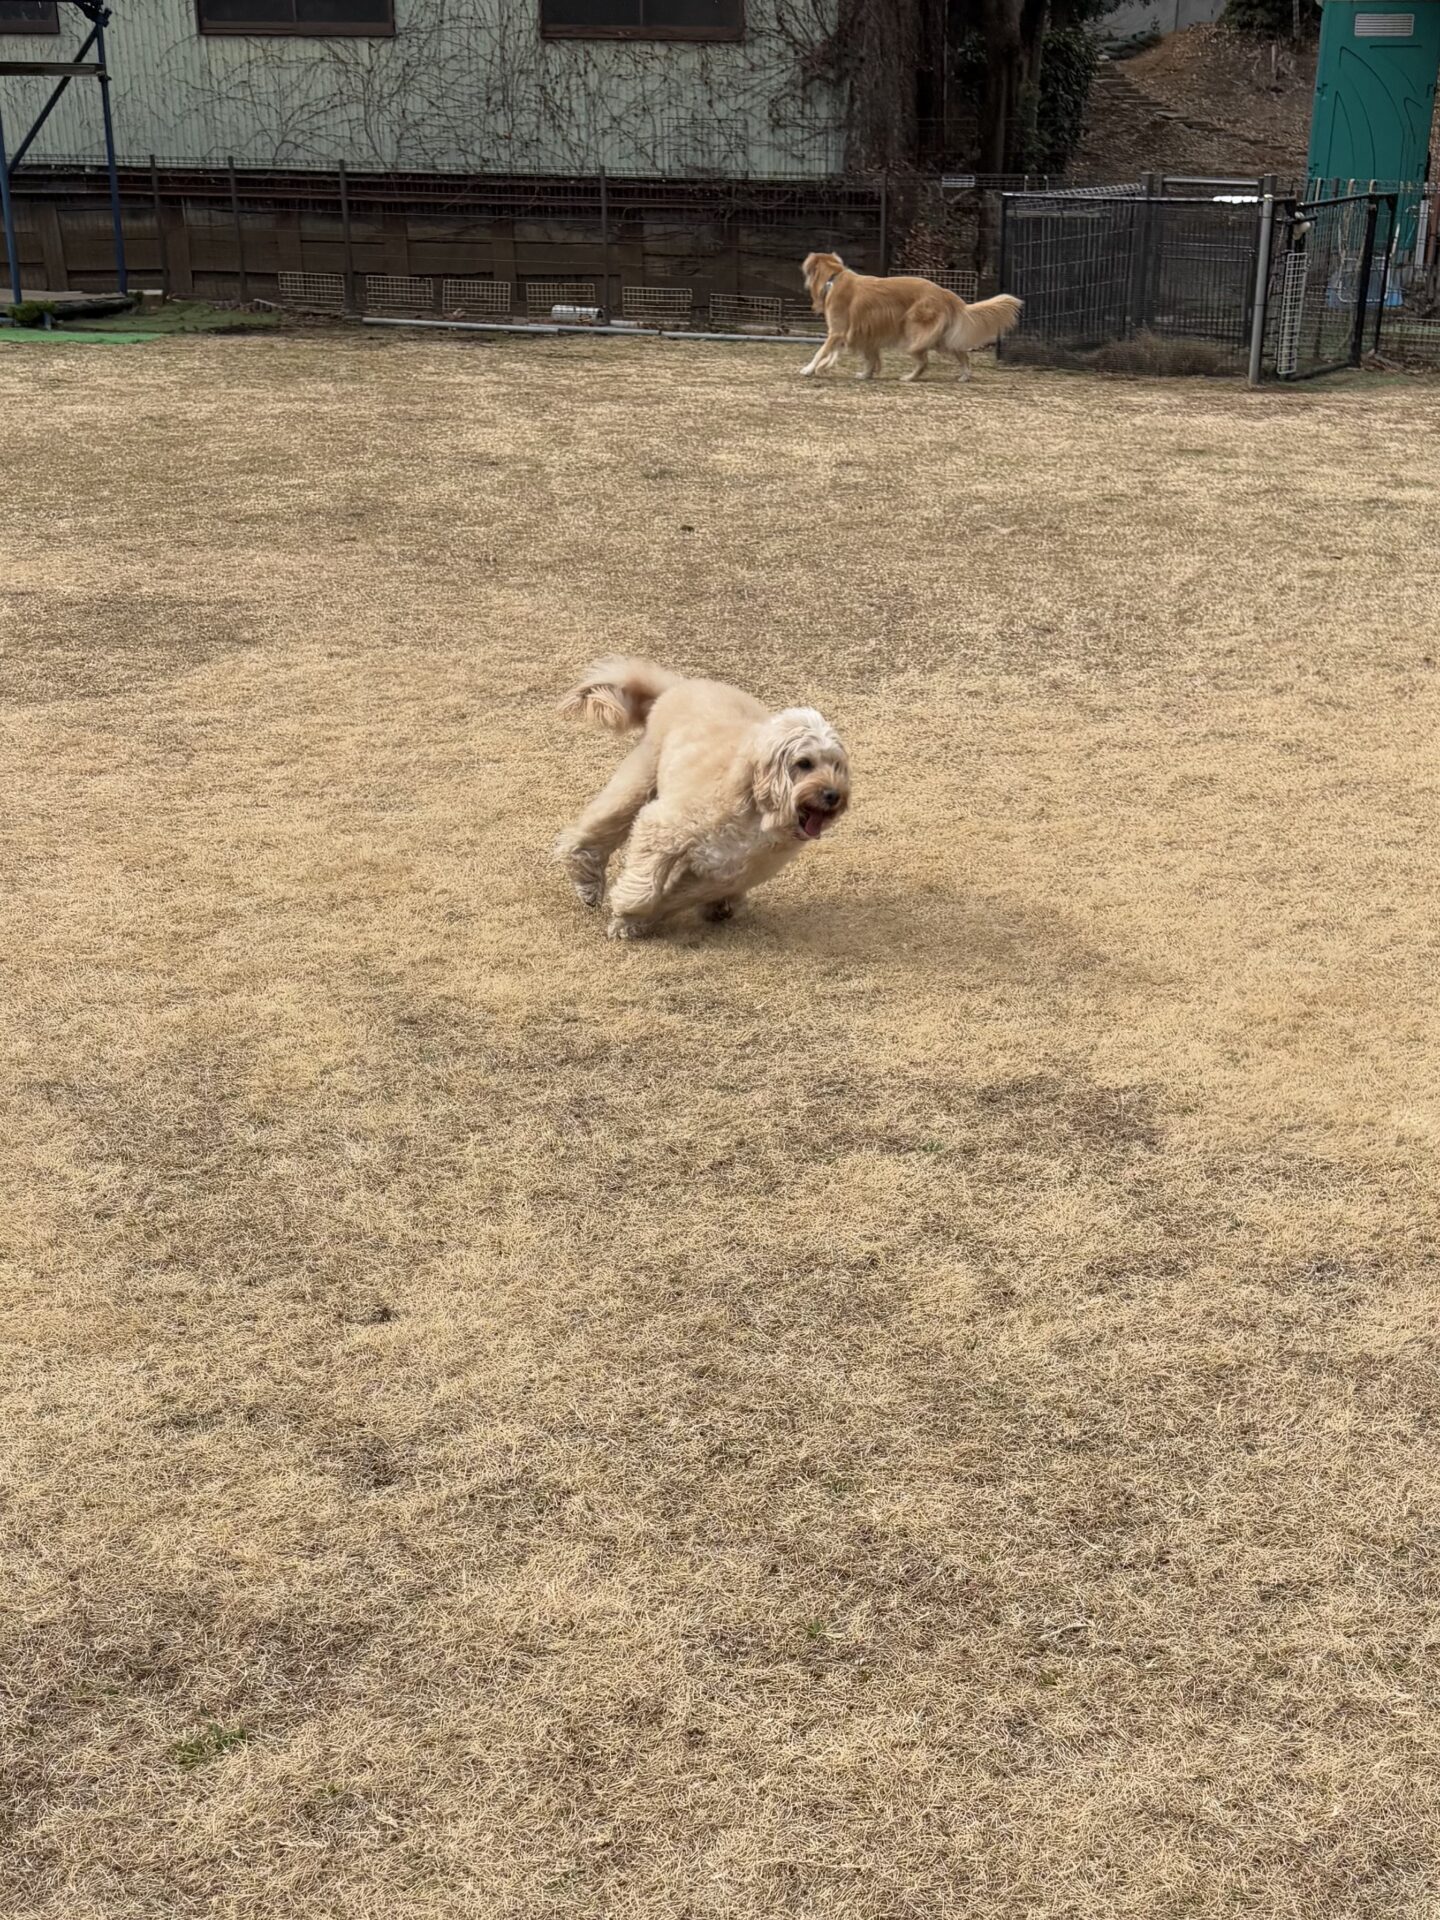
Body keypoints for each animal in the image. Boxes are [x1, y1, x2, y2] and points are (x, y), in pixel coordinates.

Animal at [554, 659, 850, 940]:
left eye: (837, 766)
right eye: (804, 763)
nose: (834, 795)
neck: (756, 810)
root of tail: (678, 685)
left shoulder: (720, 876)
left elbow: (670, 898)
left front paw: (636, 922)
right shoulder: (661, 829)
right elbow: (645, 889)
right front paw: (627, 918)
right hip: (639, 780)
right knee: (595, 831)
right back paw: (588, 882)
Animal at [800, 251, 1022, 383]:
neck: (833, 279)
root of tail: (945, 293)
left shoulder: (838, 331)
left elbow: (821, 351)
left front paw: (809, 369)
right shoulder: (861, 333)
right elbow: (860, 357)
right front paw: (862, 373)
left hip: (914, 334)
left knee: (924, 362)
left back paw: (909, 377)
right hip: (940, 338)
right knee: (962, 353)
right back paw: (965, 376)